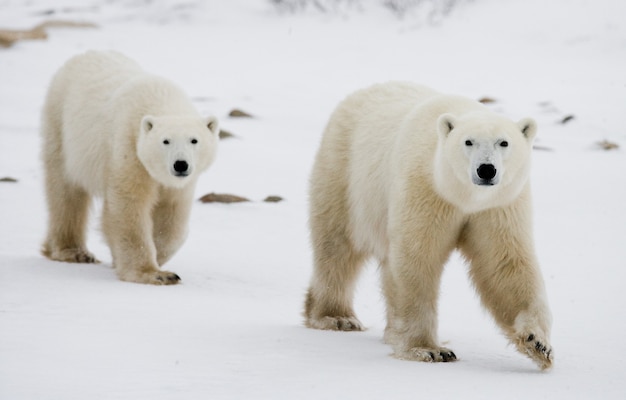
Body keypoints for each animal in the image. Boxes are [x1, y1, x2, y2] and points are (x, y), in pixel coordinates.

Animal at [40, 50, 218, 284]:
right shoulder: (129, 147)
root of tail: (85, 54)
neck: (161, 98)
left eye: (194, 140)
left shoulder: (179, 184)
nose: (180, 164)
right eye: (165, 141)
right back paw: (72, 251)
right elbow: (129, 205)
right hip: (61, 125)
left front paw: (154, 257)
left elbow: (172, 215)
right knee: (65, 191)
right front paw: (154, 273)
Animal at [302, 81, 552, 368]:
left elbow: (504, 263)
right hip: (344, 173)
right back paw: (336, 316)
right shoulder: (426, 190)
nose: (486, 169)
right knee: (337, 246)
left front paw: (538, 343)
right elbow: (417, 258)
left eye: (504, 142)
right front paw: (429, 350)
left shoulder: (498, 206)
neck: (464, 198)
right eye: (468, 141)